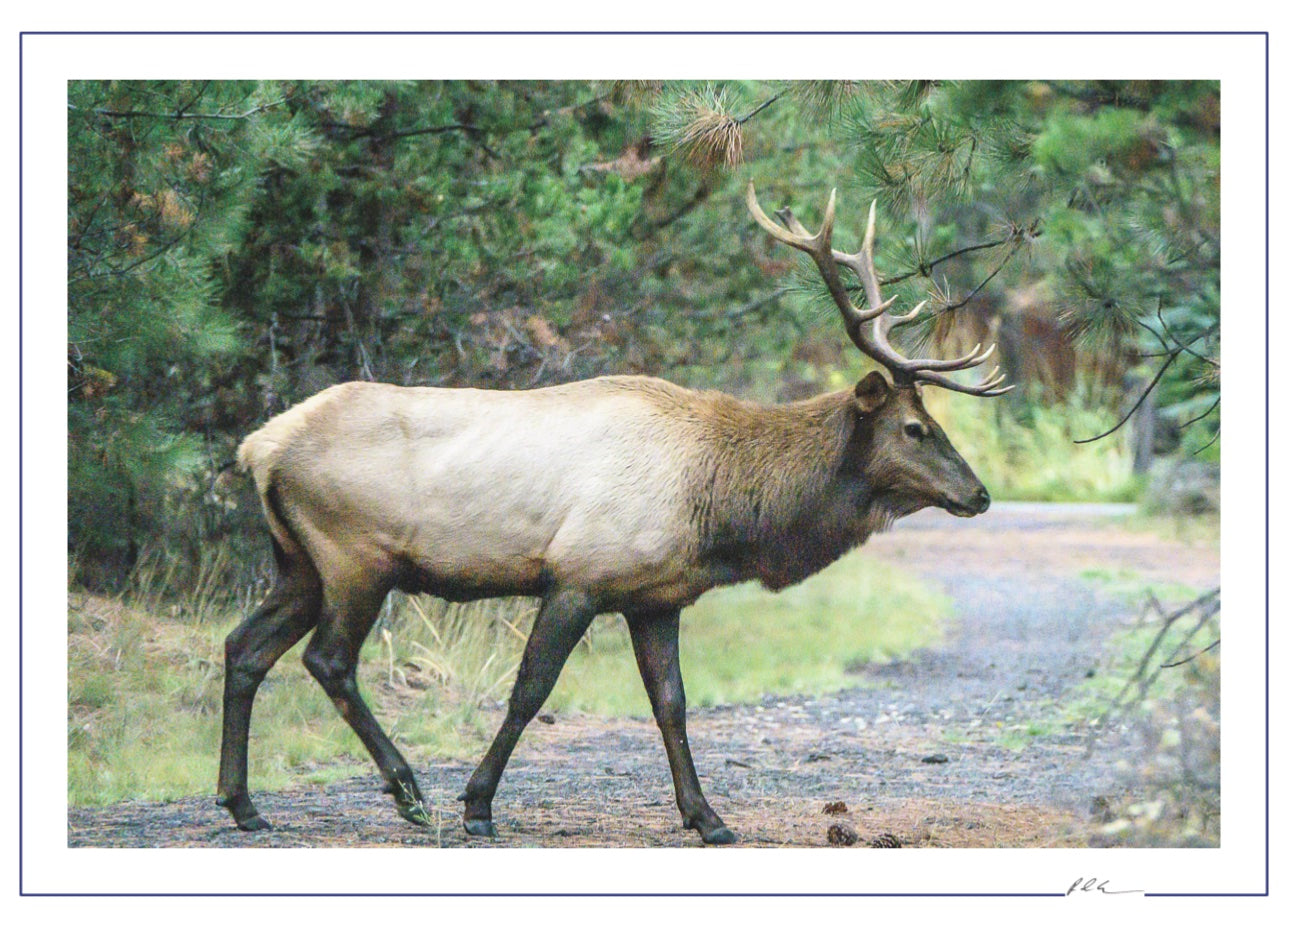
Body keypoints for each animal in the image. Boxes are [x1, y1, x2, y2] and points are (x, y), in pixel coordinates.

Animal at [217, 184, 1011, 845]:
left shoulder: (655, 596)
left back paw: (244, 804)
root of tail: (260, 446)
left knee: (245, 648)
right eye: (916, 428)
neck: (720, 511)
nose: (979, 494)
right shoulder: (579, 574)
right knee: (327, 659)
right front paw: (477, 806)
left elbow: (672, 703)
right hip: (356, 554)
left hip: (297, 561)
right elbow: (529, 691)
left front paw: (707, 818)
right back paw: (408, 791)